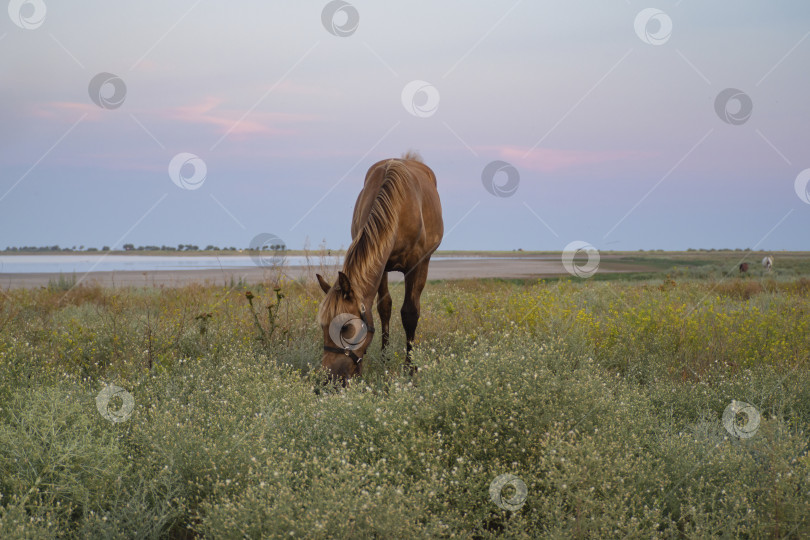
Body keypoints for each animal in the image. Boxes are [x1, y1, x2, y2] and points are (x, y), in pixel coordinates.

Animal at [314, 152, 442, 380]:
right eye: (323, 325)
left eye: (346, 327)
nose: (331, 377)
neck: (398, 207)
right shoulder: (380, 266)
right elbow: (383, 308)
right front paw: (383, 359)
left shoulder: (416, 265)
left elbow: (410, 313)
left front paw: (410, 367)